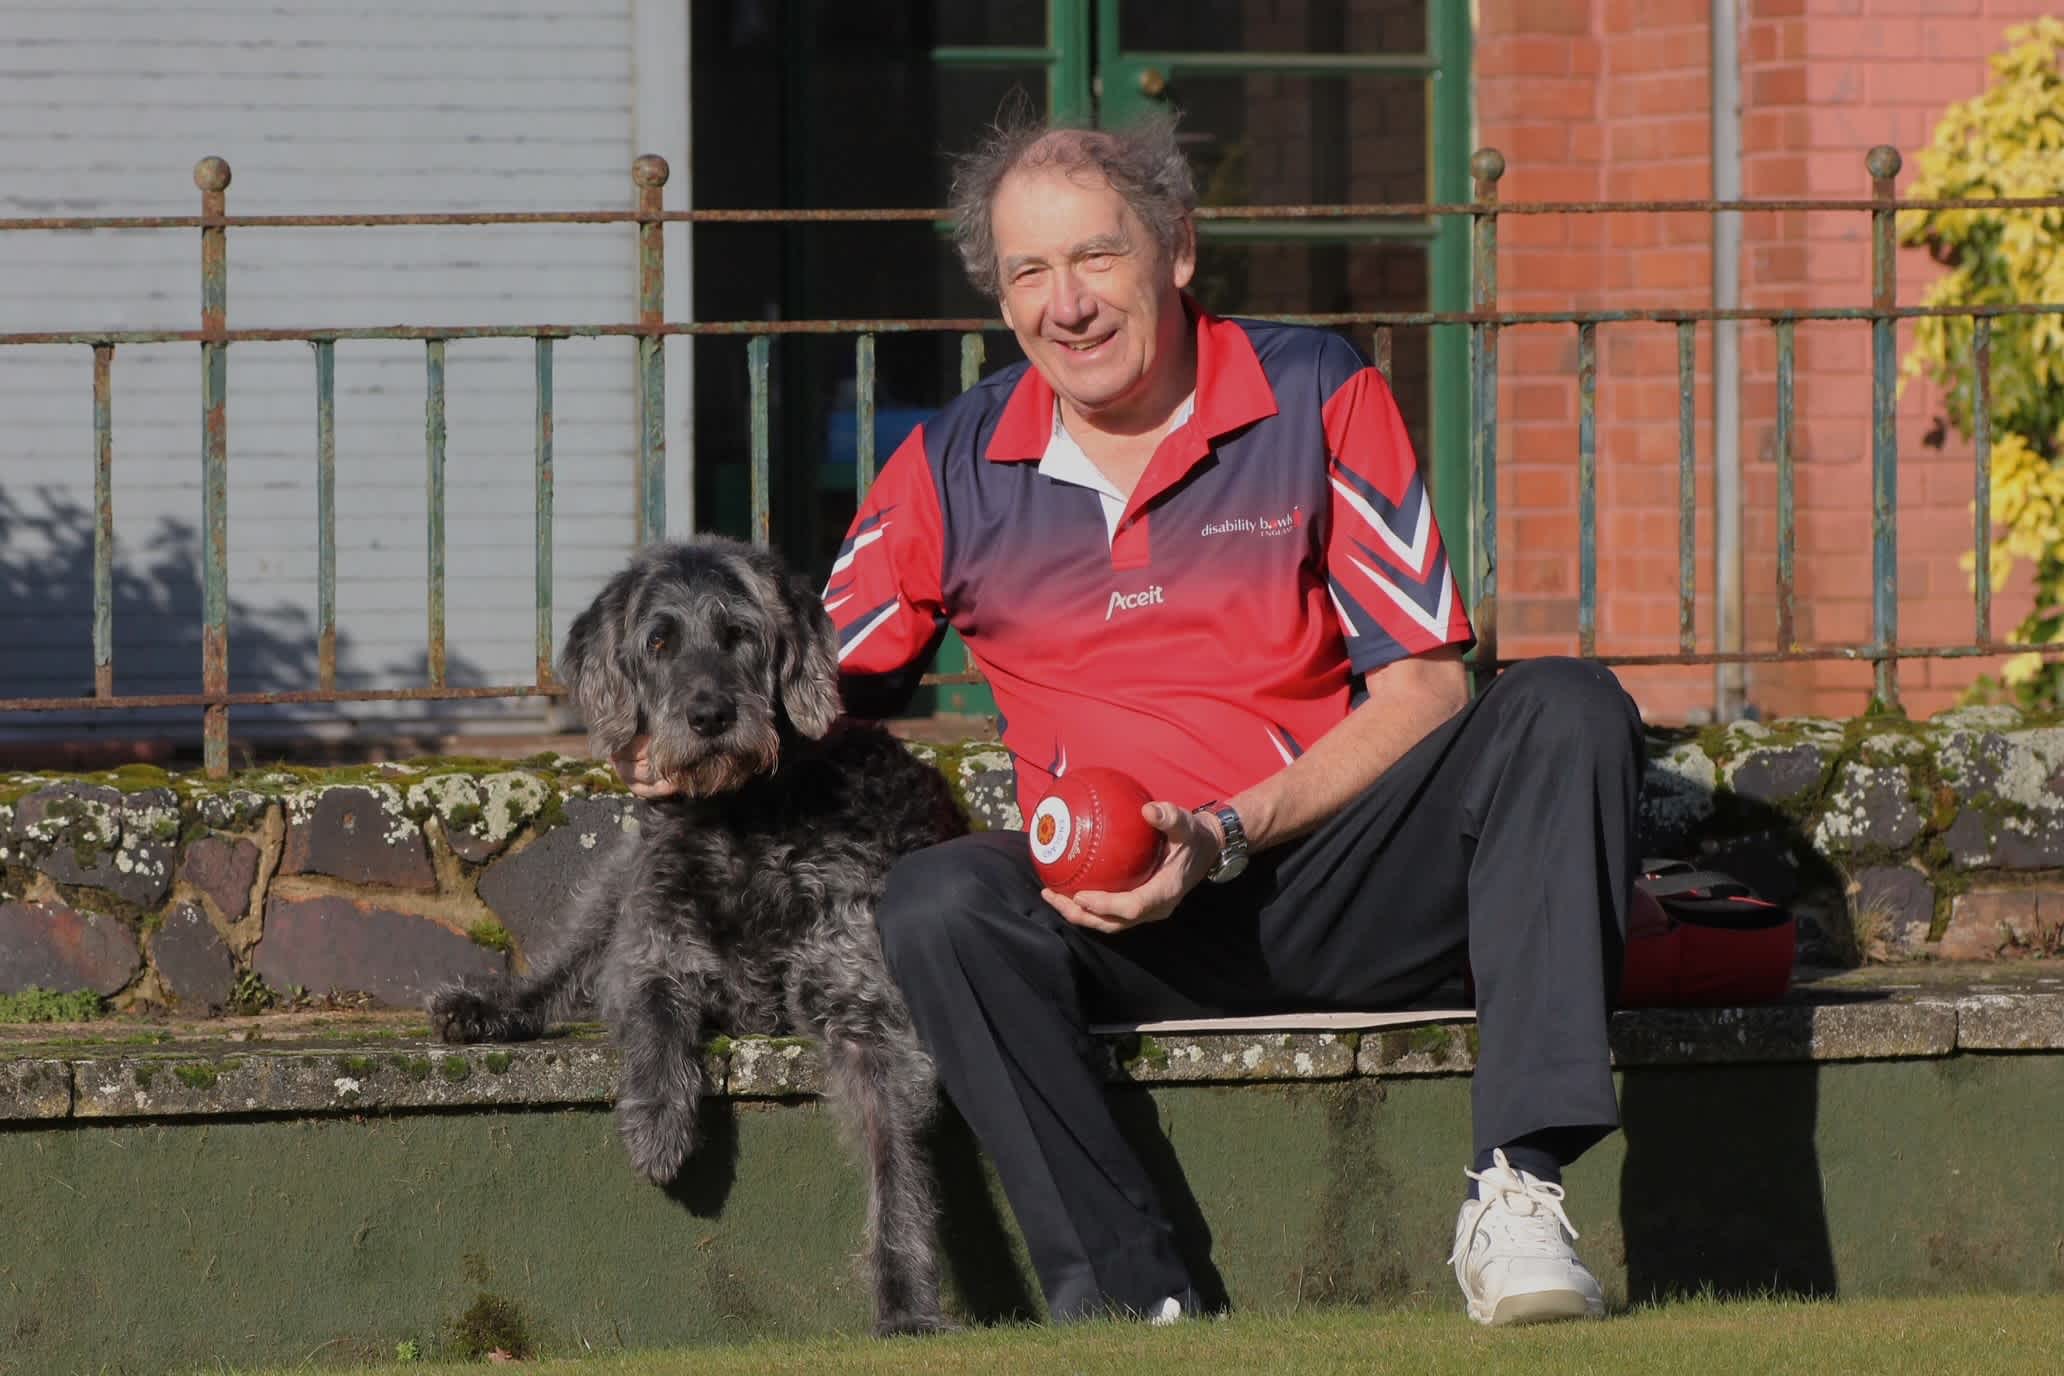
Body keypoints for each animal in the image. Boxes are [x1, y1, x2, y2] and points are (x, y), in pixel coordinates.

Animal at [425, 536, 965, 1336]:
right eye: (659, 642)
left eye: (740, 634)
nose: (710, 715)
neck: (742, 822)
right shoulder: (651, 952)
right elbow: (655, 1018)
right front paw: (657, 1121)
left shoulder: (864, 1005)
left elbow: (893, 1157)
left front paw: (905, 1300)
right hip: (619, 879)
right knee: (563, 971)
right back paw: (487, 1008)